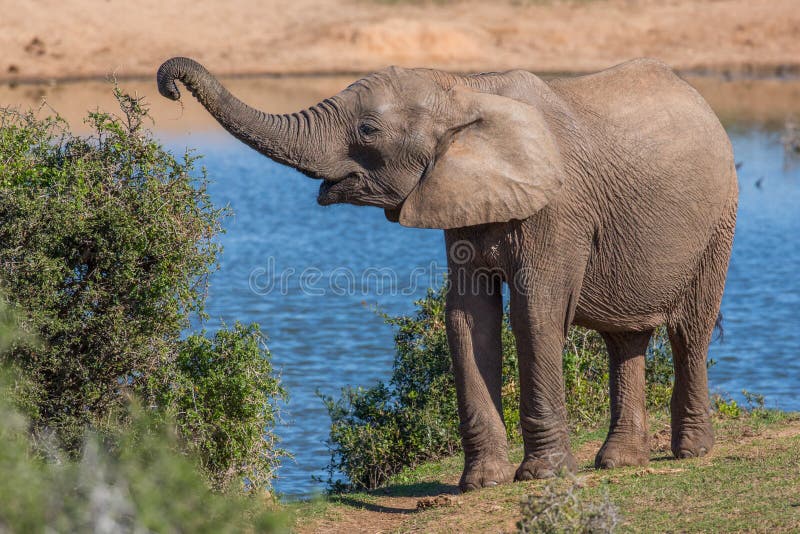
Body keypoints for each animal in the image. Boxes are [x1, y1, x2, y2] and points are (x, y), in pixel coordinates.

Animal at [156, 56, 736, 492]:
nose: (169, 86)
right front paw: (481, 483)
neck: (466, 92)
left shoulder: (558, 209)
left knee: (689, 331)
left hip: (719, 221)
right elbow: (469, 318)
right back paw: (620, 461)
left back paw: (691, 451)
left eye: (368, 130)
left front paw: (541, 476)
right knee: (625, 338)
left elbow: (536, 315)